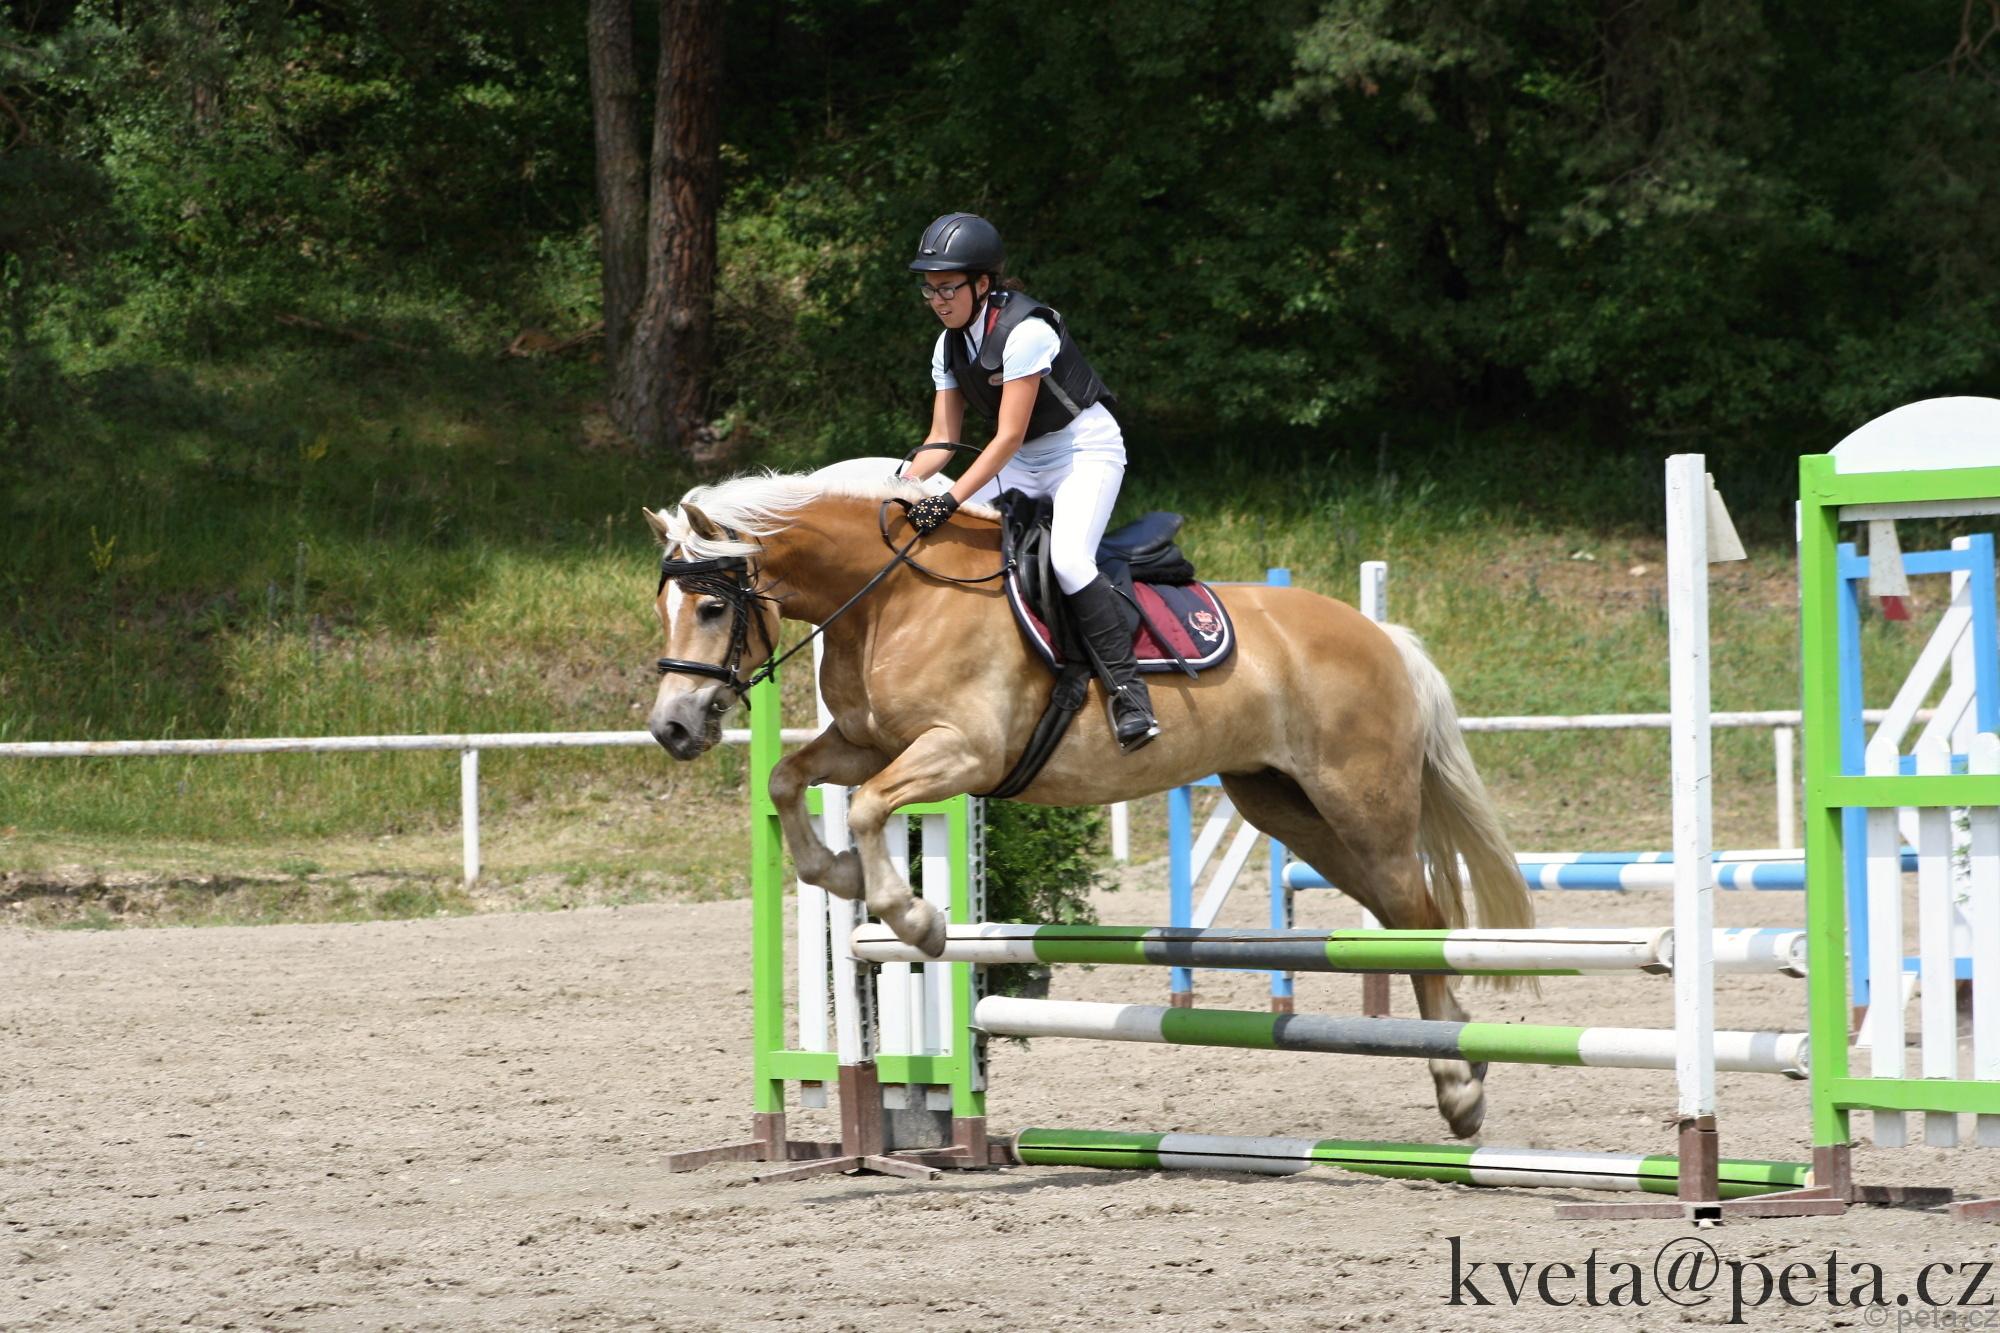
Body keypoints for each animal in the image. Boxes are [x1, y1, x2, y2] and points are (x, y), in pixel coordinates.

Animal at [643, 461, 1531, 1138]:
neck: (891, 597)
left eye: (713, 606)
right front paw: (838, 875)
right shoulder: (869, 742)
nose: (673, 727)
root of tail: (1383, 636)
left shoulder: (960, 751)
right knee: (1402, 916)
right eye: (664, 606)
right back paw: (1462, 1058)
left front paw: (916, 918)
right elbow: (787, 781)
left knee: (1421, 912)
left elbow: (865, 808)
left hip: (1361, 801)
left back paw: (1459, 1082)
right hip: (1289, 810)